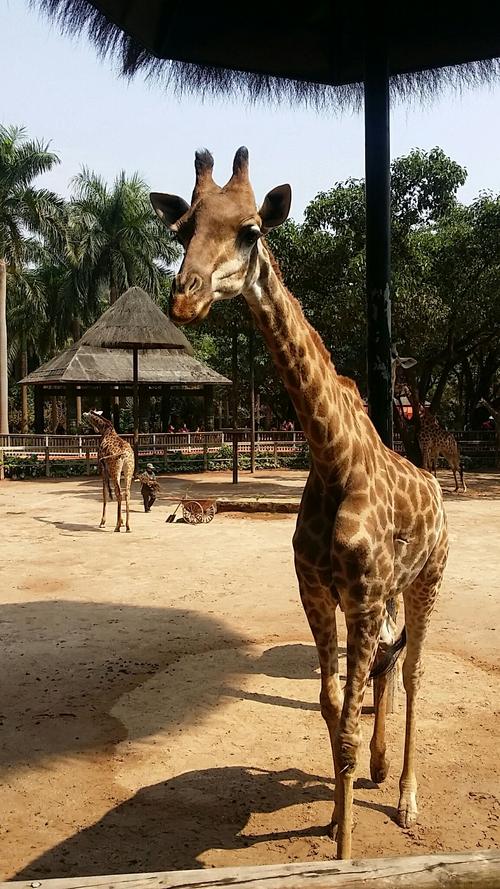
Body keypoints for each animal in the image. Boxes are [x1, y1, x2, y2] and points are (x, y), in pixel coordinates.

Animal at [149, 149, 450, 856]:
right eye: (183, 229)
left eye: (251, 230)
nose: (185, 296)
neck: (333, 455)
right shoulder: (319, 591)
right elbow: (330, 706)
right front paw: (339, 817)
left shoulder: (361, 594)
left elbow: (344, 722)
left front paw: (344, 853)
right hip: (390, 593)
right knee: (387, 668)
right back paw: (377, 774)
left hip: (427, 580)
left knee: (415, 672)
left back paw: (406, 799)